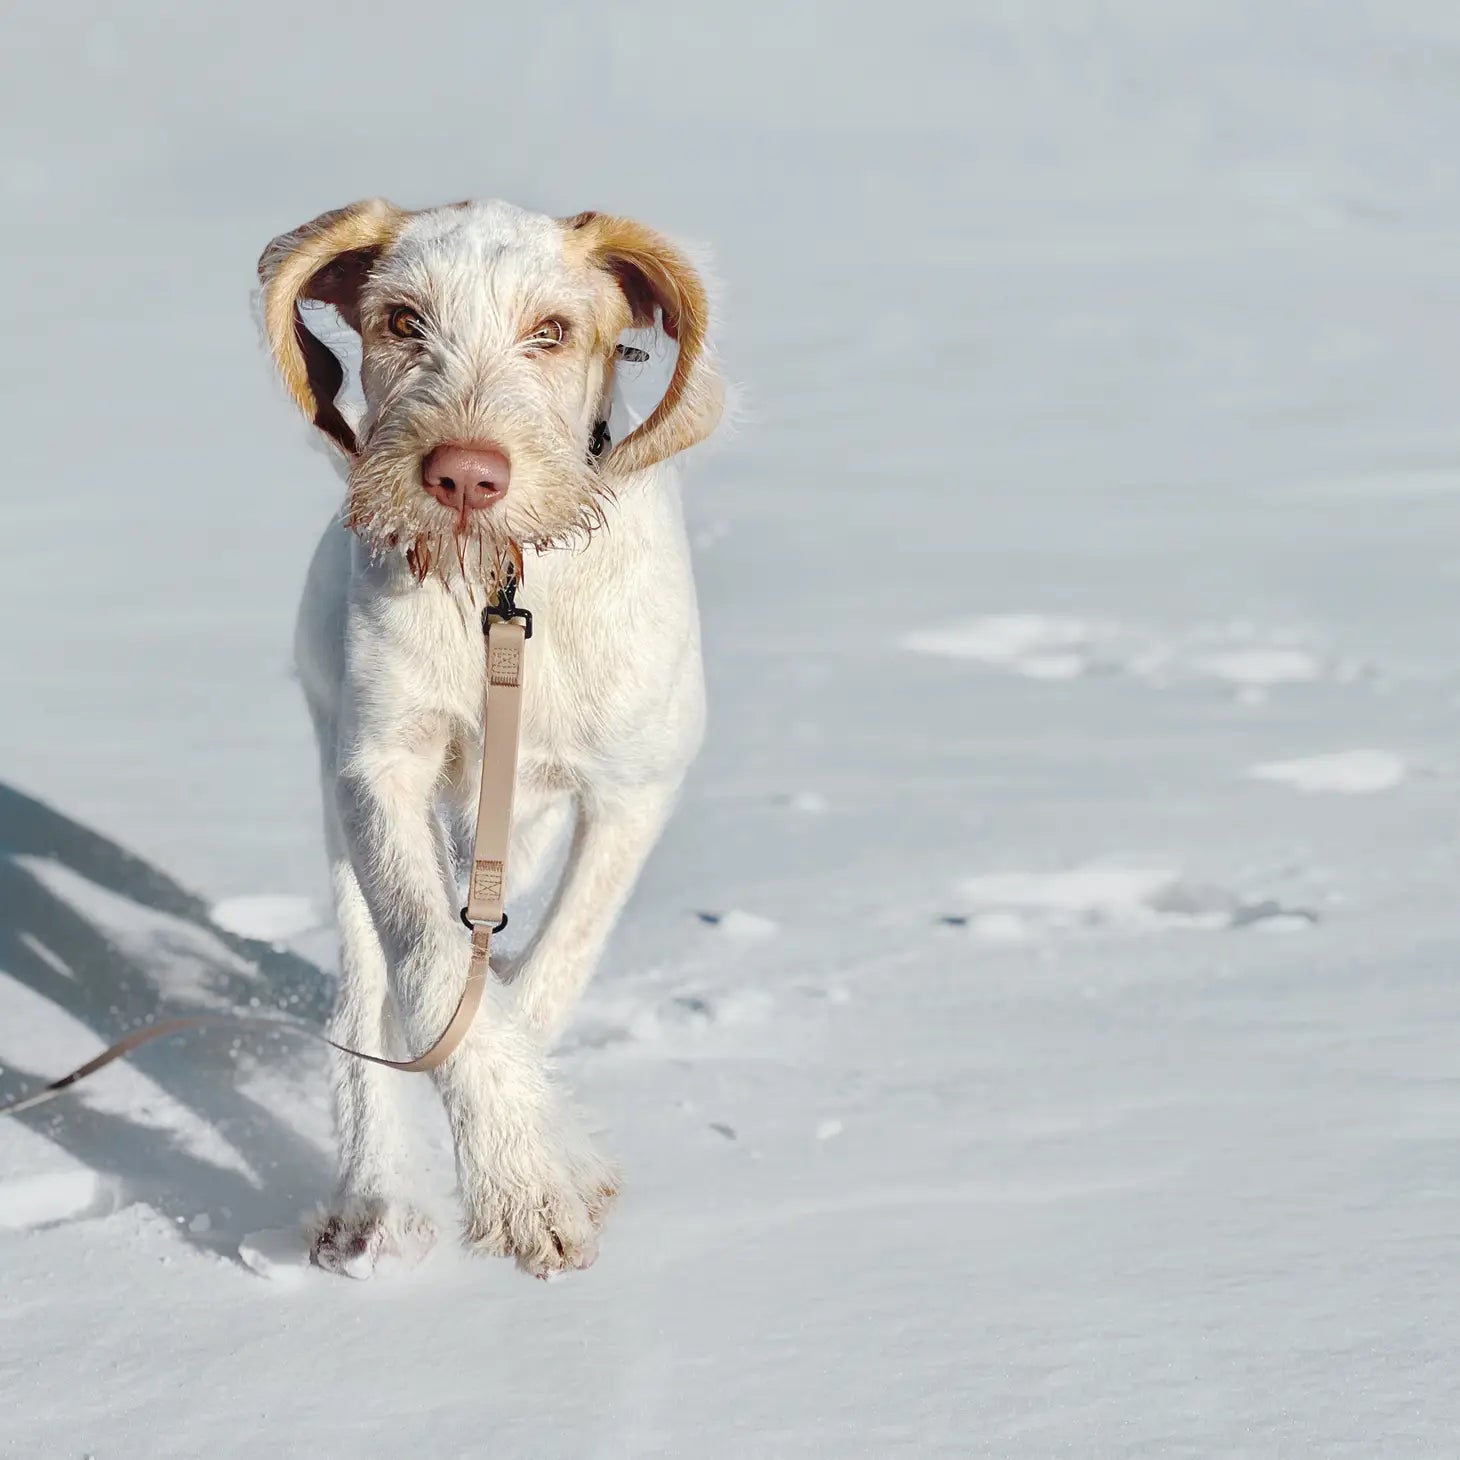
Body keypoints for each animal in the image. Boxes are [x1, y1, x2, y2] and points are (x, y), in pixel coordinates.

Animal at [261, 197, 724, 1278]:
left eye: (551, 331)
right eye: (400, 320)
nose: (464, 475)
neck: (498, 588)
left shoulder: (630, 790)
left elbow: (548, 977)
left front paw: (549, 1163)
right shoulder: (377, 766)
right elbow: (431, 968)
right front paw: (520, 1182)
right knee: (366, 996)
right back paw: (375, 1198)